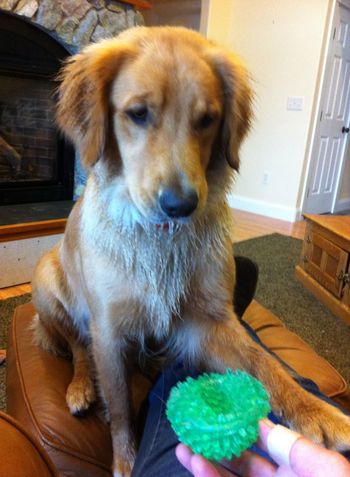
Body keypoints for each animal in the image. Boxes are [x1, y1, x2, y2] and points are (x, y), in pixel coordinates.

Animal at [32, 27, 350, 476]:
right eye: (137, 113)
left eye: (207, 119)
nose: (180, 204)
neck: (160, 238)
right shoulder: (108, 330)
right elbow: (120, 406)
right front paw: (126, 460)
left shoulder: (210, 321)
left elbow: (264, 363)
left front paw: (314, 410)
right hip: (46, 285)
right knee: (77, 346)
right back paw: (79, 388)